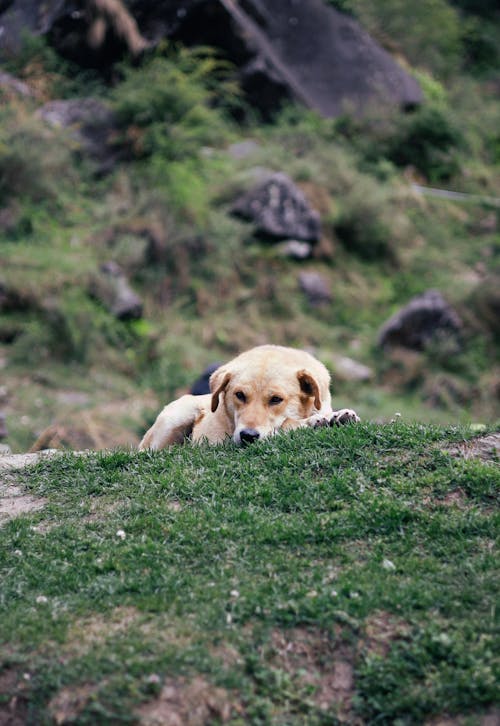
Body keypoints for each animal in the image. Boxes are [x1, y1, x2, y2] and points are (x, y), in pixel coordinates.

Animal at [141, 342, 360, 450]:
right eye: (239, 395)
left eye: (276, 399)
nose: (248, 436)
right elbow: (286, 424)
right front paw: (314, 422)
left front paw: (338, 417)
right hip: (175, 418)